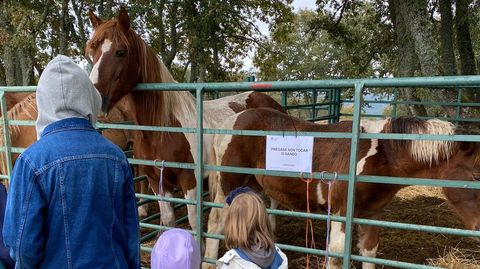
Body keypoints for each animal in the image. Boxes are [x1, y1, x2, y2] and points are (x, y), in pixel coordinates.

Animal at [85, 6, 284, 228]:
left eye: (120, 52)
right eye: (91, 52)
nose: (94, 98)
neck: (163, 130)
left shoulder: (190, 182)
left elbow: (193, 222)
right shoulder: (157, 181)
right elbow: (168, 219)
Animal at [207, 107, 480, 268]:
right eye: (476, 175)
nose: (479, 227)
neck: (380, 154)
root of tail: (231, 120)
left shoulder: (371, 214)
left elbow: (368, 251)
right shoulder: (340, 213)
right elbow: (338, 254)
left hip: (250, 184)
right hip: (228, 183)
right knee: (216, 222)